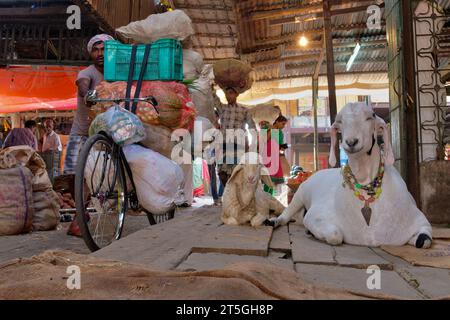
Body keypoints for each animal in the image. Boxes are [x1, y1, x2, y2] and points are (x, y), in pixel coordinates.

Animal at [268, 104, 432, 249]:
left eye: (370, 116)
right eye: (339, 121)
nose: (351, 142)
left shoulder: (421, 222)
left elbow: (424, 240)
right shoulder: (316, 215)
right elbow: (335, 235)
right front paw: (313, 231)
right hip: (300, 194)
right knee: (287, 214)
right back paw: (274, 221)